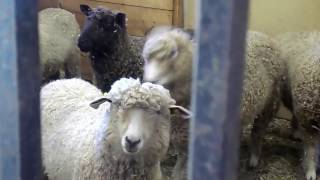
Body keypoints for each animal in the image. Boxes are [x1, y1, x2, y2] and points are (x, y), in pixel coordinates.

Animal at [144, 27, 284, 180]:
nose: (150, 81)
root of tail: (263, 35)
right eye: (146, 58)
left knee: (258, 131)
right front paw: (177, 173)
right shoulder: (181, 132)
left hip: (270, 103)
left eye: (173, 53)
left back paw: (253, 159)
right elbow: (182, 156)